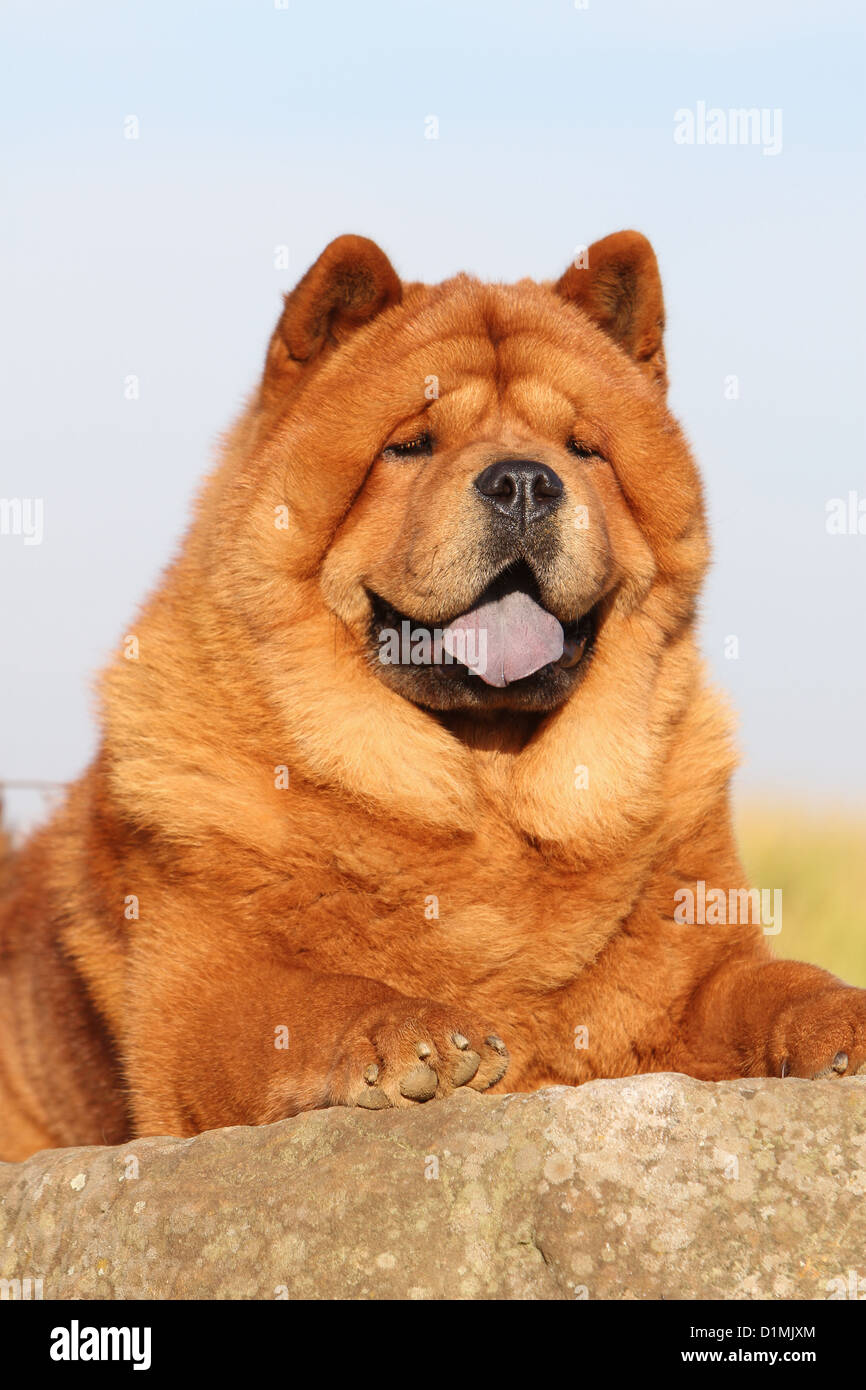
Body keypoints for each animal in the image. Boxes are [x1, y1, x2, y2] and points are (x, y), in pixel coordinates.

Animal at [1, 230, 866, 1162]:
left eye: (582, 448)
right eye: (410, 445)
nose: (525, 481)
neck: (488, 791)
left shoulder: (697, 969)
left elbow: (776, 983)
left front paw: (844, 1017)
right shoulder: (197, 1000)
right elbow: (300, 999)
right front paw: (411, 1033)